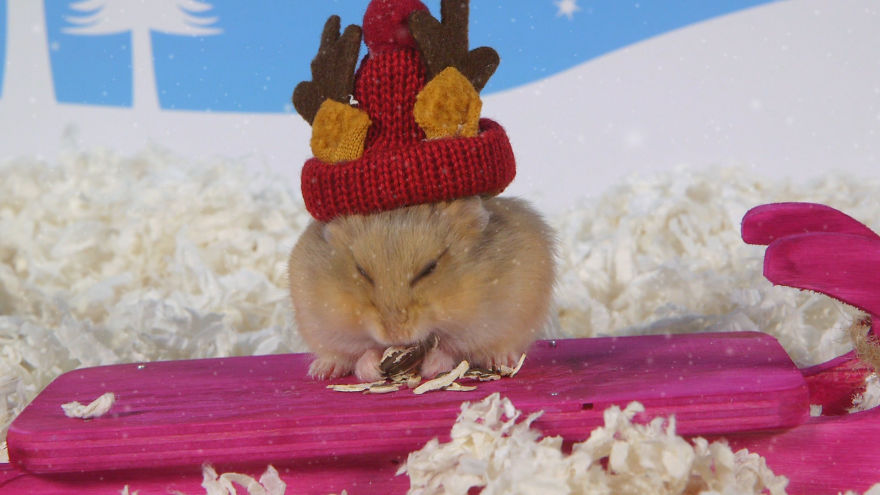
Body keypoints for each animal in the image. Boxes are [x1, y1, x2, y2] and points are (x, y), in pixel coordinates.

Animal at [288, 196, 556, 381]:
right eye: (361, 271)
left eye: (429, 268)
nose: (395, 336)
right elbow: (361, 351)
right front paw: (372, 370)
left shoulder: (487, 323)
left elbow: (452, 349)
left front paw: (430, 367)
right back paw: (321, 371)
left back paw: (501, 360)